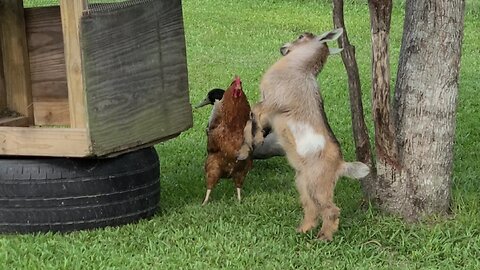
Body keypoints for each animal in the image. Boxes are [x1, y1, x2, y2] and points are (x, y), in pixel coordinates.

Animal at [238, 28, 370, 242]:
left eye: (301, 36)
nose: (283, 47)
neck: (298, 69)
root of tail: (341, 165)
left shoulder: (272, 103)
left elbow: (253, 115)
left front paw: (255, 141)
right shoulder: (268, 110)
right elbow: (250, 122)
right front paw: (245, 149)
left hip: (317, 184)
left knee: (331, 209)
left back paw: (323, 237)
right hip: (304, 182)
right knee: (311, 207)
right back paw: (303, 230)